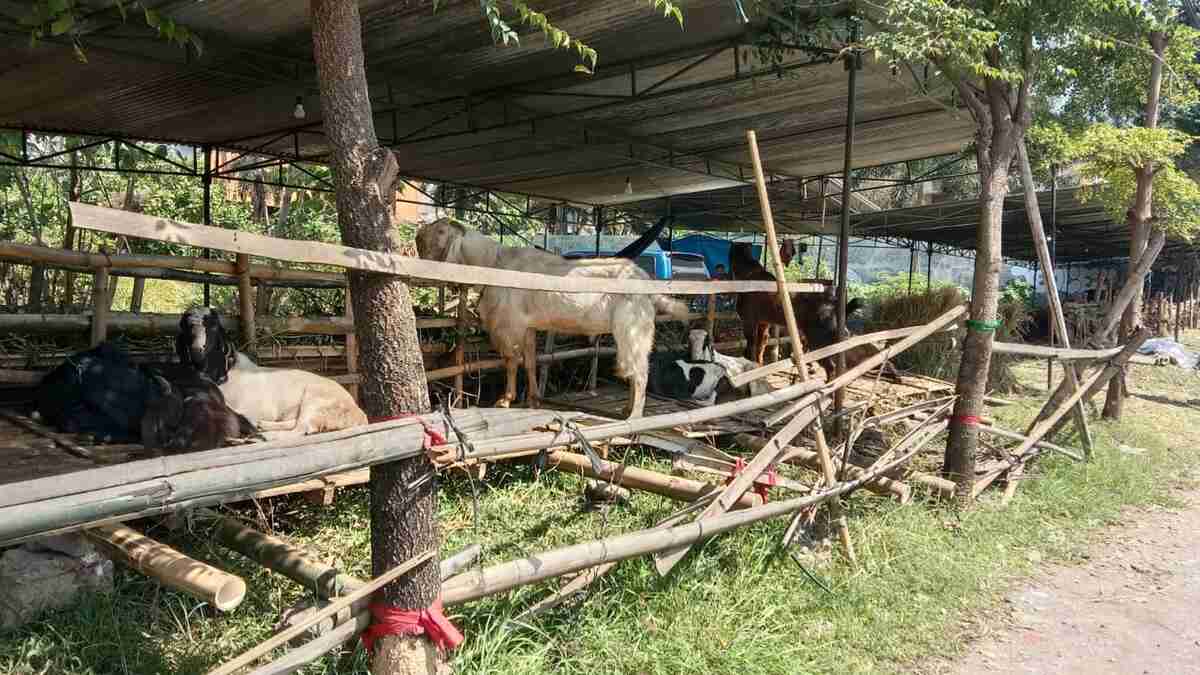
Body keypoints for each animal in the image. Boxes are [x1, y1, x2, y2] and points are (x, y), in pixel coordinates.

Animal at [417, 216, 691, 415]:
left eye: (440, 233)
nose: (417, 239)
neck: (492, 263)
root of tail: (645, 281)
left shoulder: (509, 324)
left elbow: (511, 361)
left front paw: (505, 399)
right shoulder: (528, 326)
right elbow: (529, 361)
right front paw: (533, 398)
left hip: (631, 328)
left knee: (639, 370)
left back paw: (633, 414)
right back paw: (627, 408)